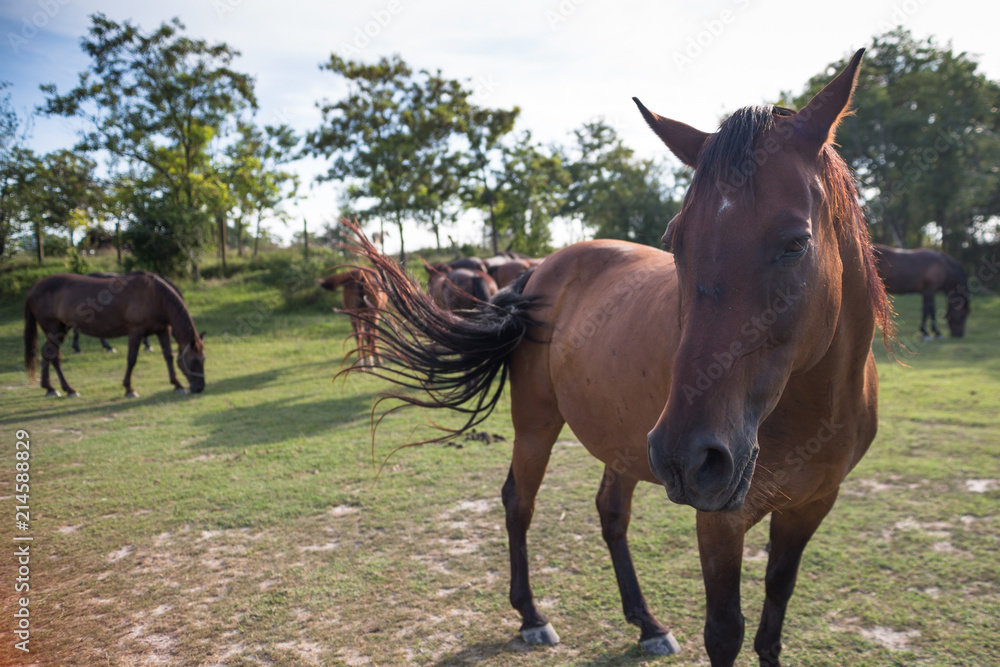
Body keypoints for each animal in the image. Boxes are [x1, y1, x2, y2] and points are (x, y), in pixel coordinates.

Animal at [24, 272, 206, 398]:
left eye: (203, 359)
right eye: (193, 360)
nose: (199, 388)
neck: (155, 295)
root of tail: (33, 288)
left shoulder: (162, 330)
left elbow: (168, 356)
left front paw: (177, 385)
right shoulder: (136, 332)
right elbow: (132, 359)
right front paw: (129, 389)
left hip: (61, 329)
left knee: (48, 354)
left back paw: (51, 388)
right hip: (53, 328)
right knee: (52, 354)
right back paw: (67, 389)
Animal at [340, 50, 893, 666]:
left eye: (796, 242)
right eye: (676, 242)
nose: (690, 457)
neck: (811, 404)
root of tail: (540, 270)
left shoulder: (810, 507)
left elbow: (775, 612)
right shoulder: (721, 523)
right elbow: (726, 631)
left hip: (628, 441)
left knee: (610, 513)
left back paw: (646, 623)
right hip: (540, 426)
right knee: (518, 502)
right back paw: (531, 616)